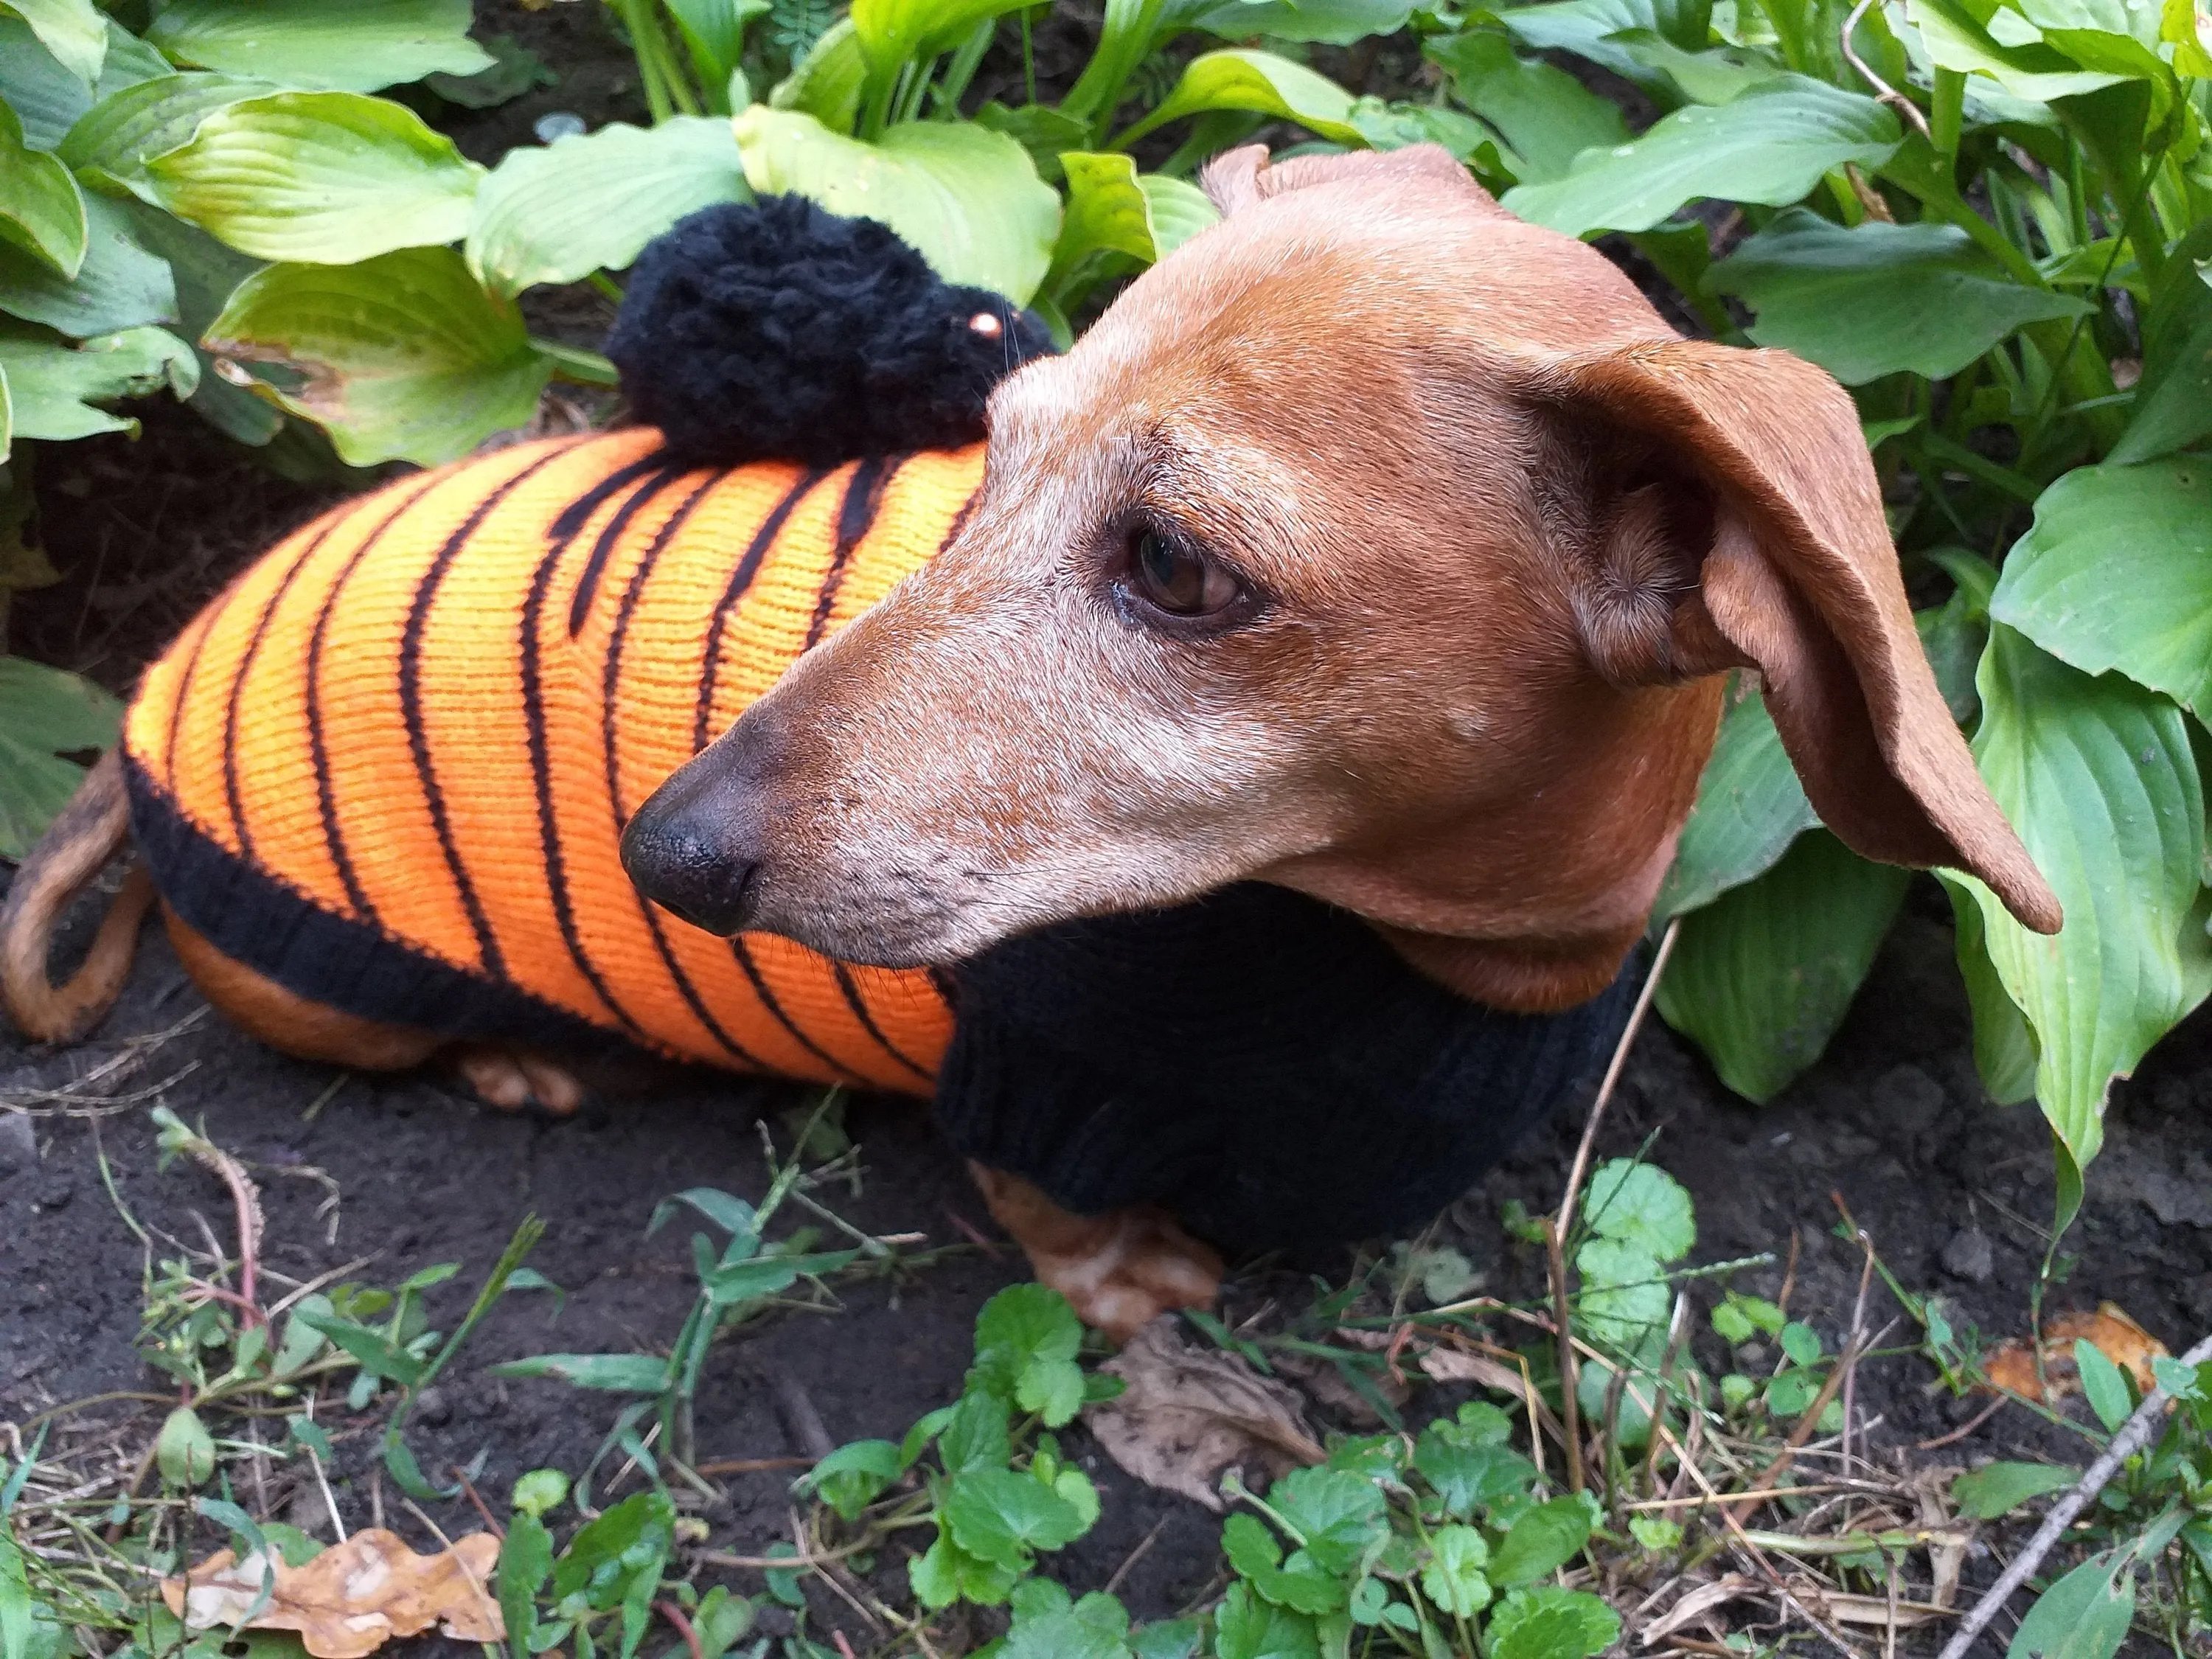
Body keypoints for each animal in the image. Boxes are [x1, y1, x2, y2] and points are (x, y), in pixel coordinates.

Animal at [0, 139, 2053, 1336]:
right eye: (986, 452)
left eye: (1176, 565)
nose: (659, 850)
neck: (1448, 959)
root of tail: (154, 703)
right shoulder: (1039, 1094)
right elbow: (1063, 1228)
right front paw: (1136, 1299)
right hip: (333, 981)